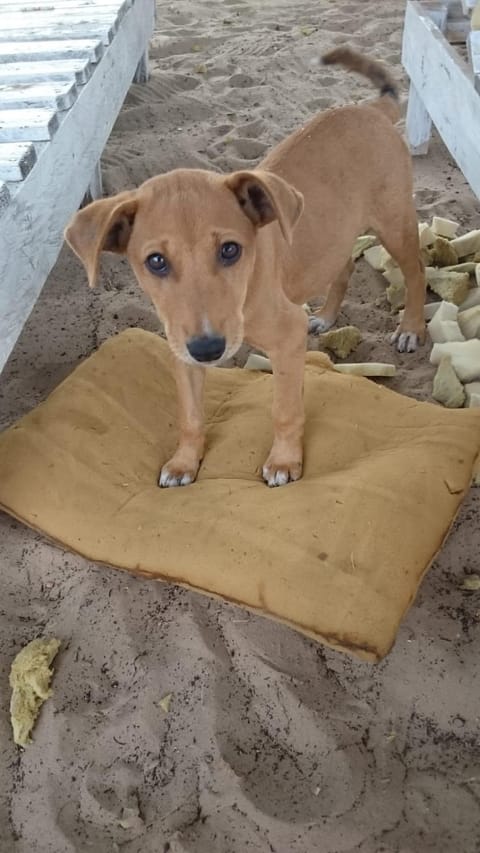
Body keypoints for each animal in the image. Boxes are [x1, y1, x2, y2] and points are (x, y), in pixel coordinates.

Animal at [64, 48, 428, 486]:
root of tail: (370, 109)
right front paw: (185, 462)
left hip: (395, 223)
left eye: (229, 250)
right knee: (342, 266)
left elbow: (284, 409)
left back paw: (410, 328)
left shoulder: (286, 337)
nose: (208, 349)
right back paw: (325, 315)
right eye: (156, 261)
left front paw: (284, 461)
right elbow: (190, 415)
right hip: (339, 232)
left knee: (416, 270)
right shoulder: (181, 350)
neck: (247, 290)